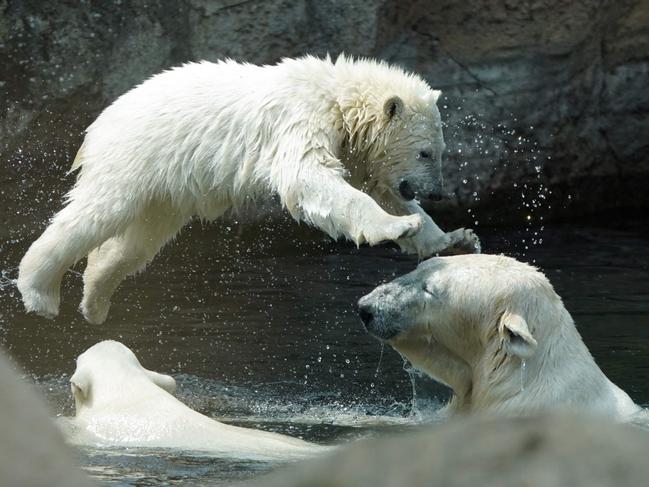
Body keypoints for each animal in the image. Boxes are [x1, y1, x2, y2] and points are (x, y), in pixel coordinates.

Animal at [17, 55, 478, 324]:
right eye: (425, 152)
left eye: (440, 151)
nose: (437, 193)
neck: (337, 94)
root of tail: (101, 120)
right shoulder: (302, 118)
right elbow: (309, 178)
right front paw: (395, 227)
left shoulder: (357, 149)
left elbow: (380, 187)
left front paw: (453, 238)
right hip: (136, 154)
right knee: (99, 212)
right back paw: (39, 293)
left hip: (166, 187)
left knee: (135, 242)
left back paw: (95, 302)